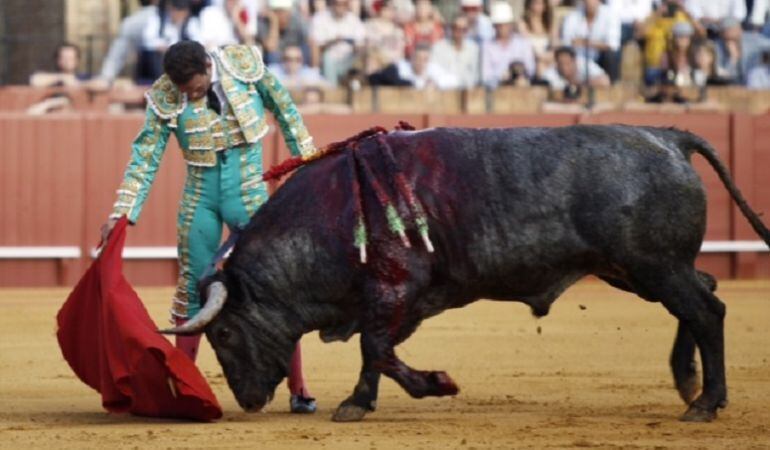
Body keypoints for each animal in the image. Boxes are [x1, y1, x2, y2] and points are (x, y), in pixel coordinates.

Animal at [160, 125, 768, 424]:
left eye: (224, 331)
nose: (247, 401)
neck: (333, 214)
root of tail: (668, 136)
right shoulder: (386, 300)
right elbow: (373, 352)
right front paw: (358, 403)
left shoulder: (394, 290)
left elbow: (377, 348)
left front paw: (436, 384)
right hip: (640, 270)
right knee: (706, 295)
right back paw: (689, 384)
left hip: (653, 265)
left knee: (707, 310)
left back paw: (705, 403)